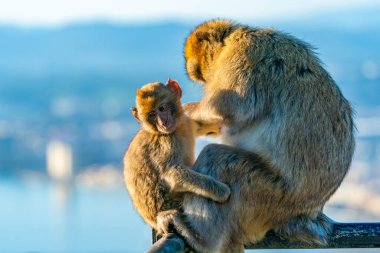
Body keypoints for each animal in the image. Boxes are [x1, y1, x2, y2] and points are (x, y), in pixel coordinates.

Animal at [124, 78, 229, 235]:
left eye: (161, 108)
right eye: (152, 115)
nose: (162, 122)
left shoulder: (187, 122)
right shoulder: (166, 144)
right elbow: (171, 174)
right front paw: (220, 190)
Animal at [162, 18, 354, 252]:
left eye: (201, 74)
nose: (207, 84)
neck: (233, 38)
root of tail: (305, 214)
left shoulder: (244, 52)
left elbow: (227, 109)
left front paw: (185, 112)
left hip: (268, 196)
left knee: (218, 158)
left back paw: (200, 239)